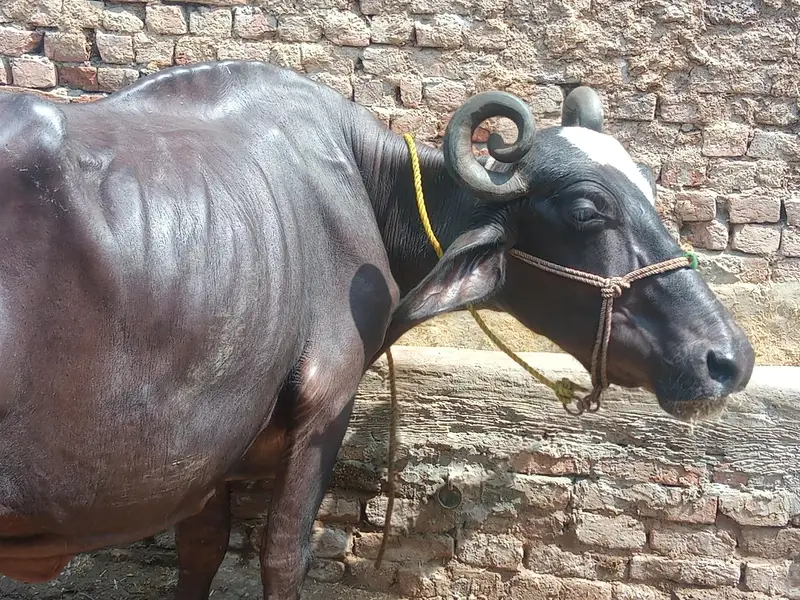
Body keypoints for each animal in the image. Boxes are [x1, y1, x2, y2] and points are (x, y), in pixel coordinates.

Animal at [0, 59, 754, 600]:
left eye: (650, 188)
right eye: (586, 209)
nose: (727, 359)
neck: (365, 187)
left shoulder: (207, 456)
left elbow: (201, 553)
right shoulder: (323, 408)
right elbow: (283, 554)